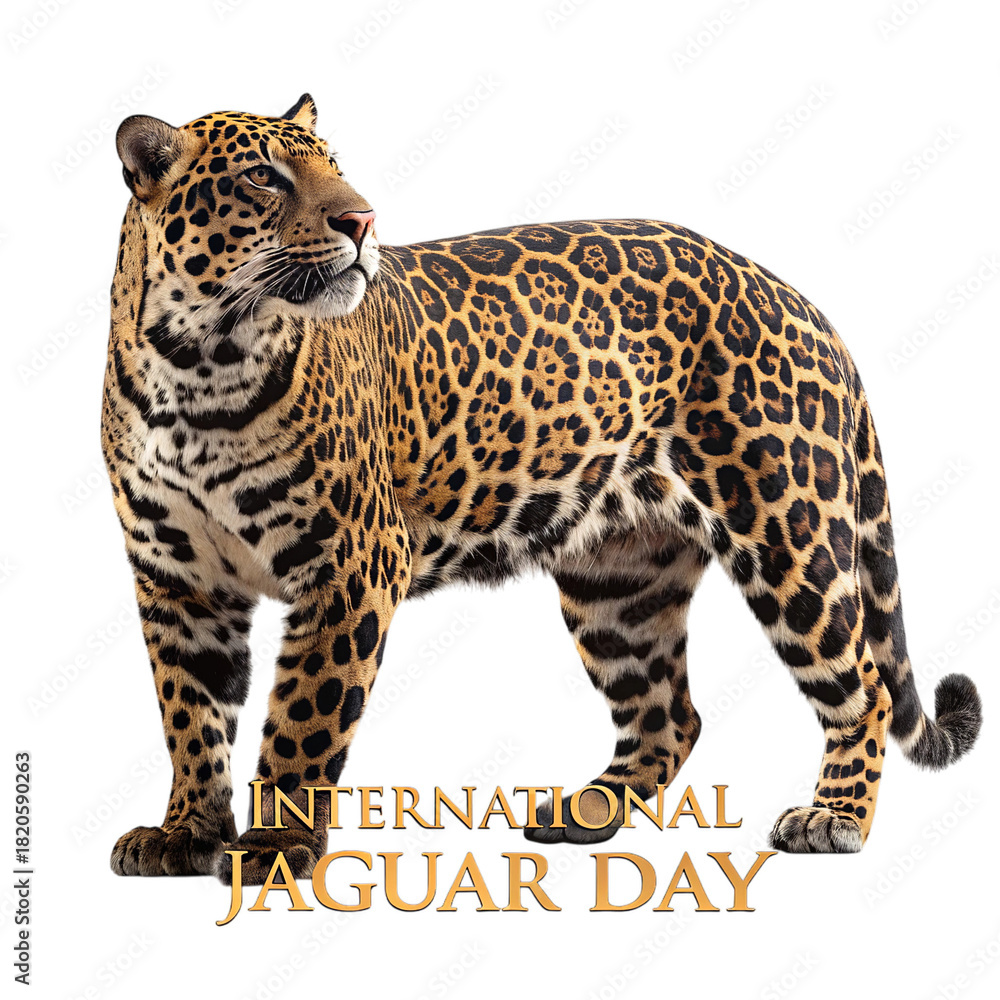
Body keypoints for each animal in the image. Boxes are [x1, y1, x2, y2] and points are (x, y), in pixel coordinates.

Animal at [102, 94, 982, 884]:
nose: (362, 221)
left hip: (789, 530)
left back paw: (833, 818)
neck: (198, 365)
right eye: (263, 176)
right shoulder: (176, 581)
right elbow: (190, 716)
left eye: (334, 169)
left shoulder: (351, 566)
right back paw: (587, 813)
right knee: (670, 716)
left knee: (863, 687)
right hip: (618, 578)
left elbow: (304, 718)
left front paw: (275, 848)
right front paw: (185, 834)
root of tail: (795, 296)